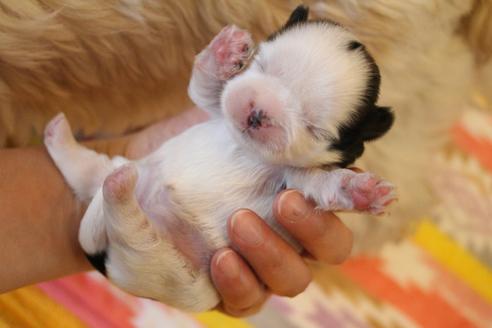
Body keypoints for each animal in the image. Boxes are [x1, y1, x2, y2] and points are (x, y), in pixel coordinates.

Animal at [43, 5, 396, 312]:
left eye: (313, 127)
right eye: (261, 65)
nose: (258, 113)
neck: (246, 148)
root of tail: (103, 259)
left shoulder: (297, 176)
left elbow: (324, 183)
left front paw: (362, 190)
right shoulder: (216, 107)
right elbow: (205, 88)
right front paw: (227, 49)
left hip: (168, 272)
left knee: (133, 231)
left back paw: (119, 188)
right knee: (88, 172)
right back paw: (60, 136)